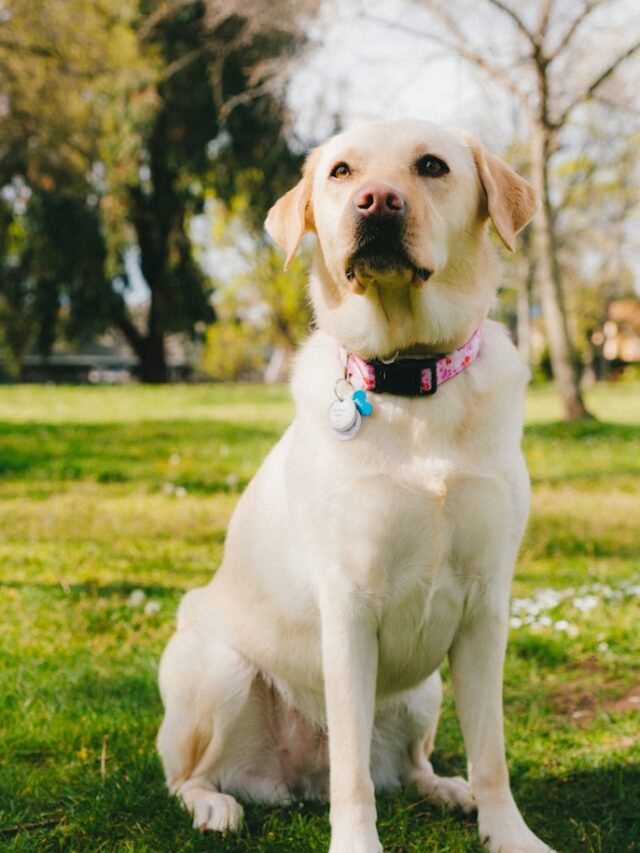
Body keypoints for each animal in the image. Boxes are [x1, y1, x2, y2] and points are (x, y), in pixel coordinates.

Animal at [156, 120, 556, 852]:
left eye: (432, 166)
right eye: (342, 172)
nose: (376, 202)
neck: (412, 380)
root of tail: (295, 781)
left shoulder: (486, 606)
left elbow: (491, 754)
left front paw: (509, 833)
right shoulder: (347, 607)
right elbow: (352, 774)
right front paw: (357, 843)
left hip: (424, 691)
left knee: (408, 764)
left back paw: (446, 789)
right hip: (217, 667)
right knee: (193, 775)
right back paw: (214, 805)